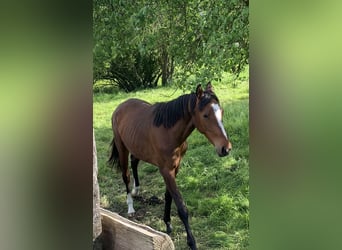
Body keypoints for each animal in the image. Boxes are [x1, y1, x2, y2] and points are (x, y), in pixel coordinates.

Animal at [108, 83, 231, 249]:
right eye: (206, 115)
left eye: (221, 112)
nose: (226, 148)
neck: (169, 132)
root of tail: (121, 106)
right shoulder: (166, 170)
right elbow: (181, 206)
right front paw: (191, 242)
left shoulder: (175, 167)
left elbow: (168, 196)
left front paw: (167, 223)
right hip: (122, 148)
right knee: (125, 175)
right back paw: (131, 208)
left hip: (136, 147)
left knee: (134, 163)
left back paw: (137, 190)